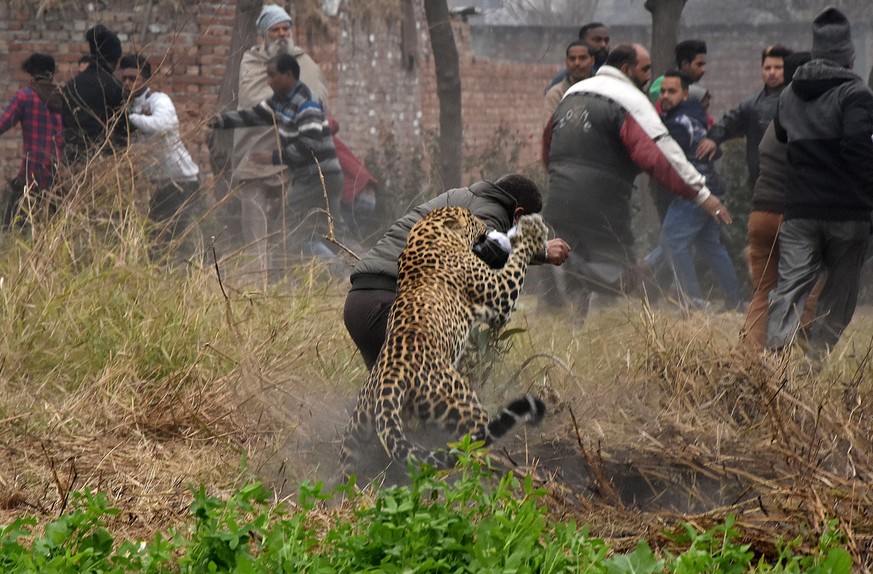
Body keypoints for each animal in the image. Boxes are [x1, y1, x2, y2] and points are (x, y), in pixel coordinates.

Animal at [338, 207, 544, 472]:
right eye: (472, 218)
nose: (486, 224)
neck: (428, 234)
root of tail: (389, 378)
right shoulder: (499, 297)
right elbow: (517, 263)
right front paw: (531, 233)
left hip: (358, 430)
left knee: (347, 465)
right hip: (462, 404)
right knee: (472, 443)